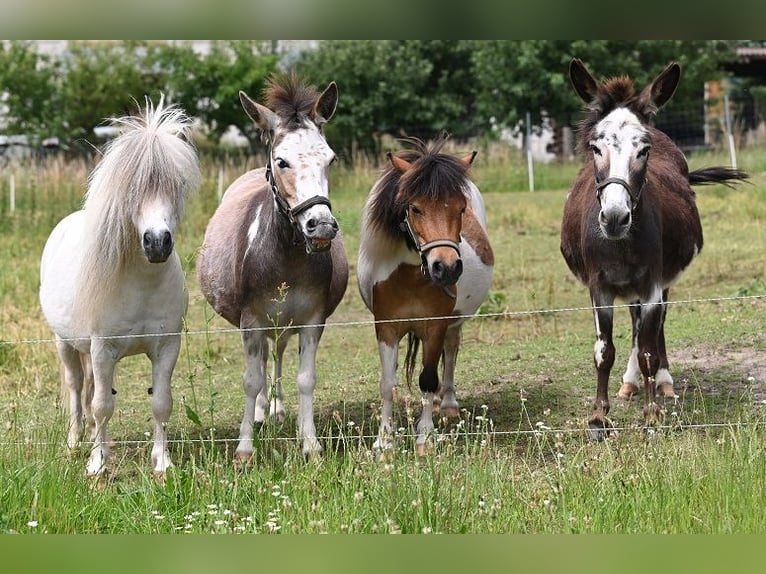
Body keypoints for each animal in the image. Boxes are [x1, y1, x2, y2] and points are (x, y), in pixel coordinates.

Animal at [40, 97, 202, 476]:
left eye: (177, 186)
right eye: (133, 189)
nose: (157, 243)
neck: (142, 285)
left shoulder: (167, 347)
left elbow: (161, 402)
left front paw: (162, 462)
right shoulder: (103, 350)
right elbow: (101, 406)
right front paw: (97, 465)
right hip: (65, 344)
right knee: (76, 388)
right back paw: (75, 443)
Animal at [358, 135, 496, 454]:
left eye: (461, 209)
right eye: (415, 208)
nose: (446, 268)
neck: (410, 277)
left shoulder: (435, 326)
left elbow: (428, 378)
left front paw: (424, 437)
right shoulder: (386, 328)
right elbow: (388, 383)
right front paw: (384, 440)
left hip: (453, 321)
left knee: (451, 351)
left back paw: (446, 404)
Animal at [560, 59, 752, 440]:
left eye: (643, 150)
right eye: (596, 148)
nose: (615, 218)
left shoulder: (651, 284)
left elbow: (648, 349)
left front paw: (651, 416)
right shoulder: (599, 287)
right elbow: (603, 351)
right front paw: (599, 418)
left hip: (662, 282)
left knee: (656, 324)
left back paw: (662, 383)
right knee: (636, 325)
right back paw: (629, 384)